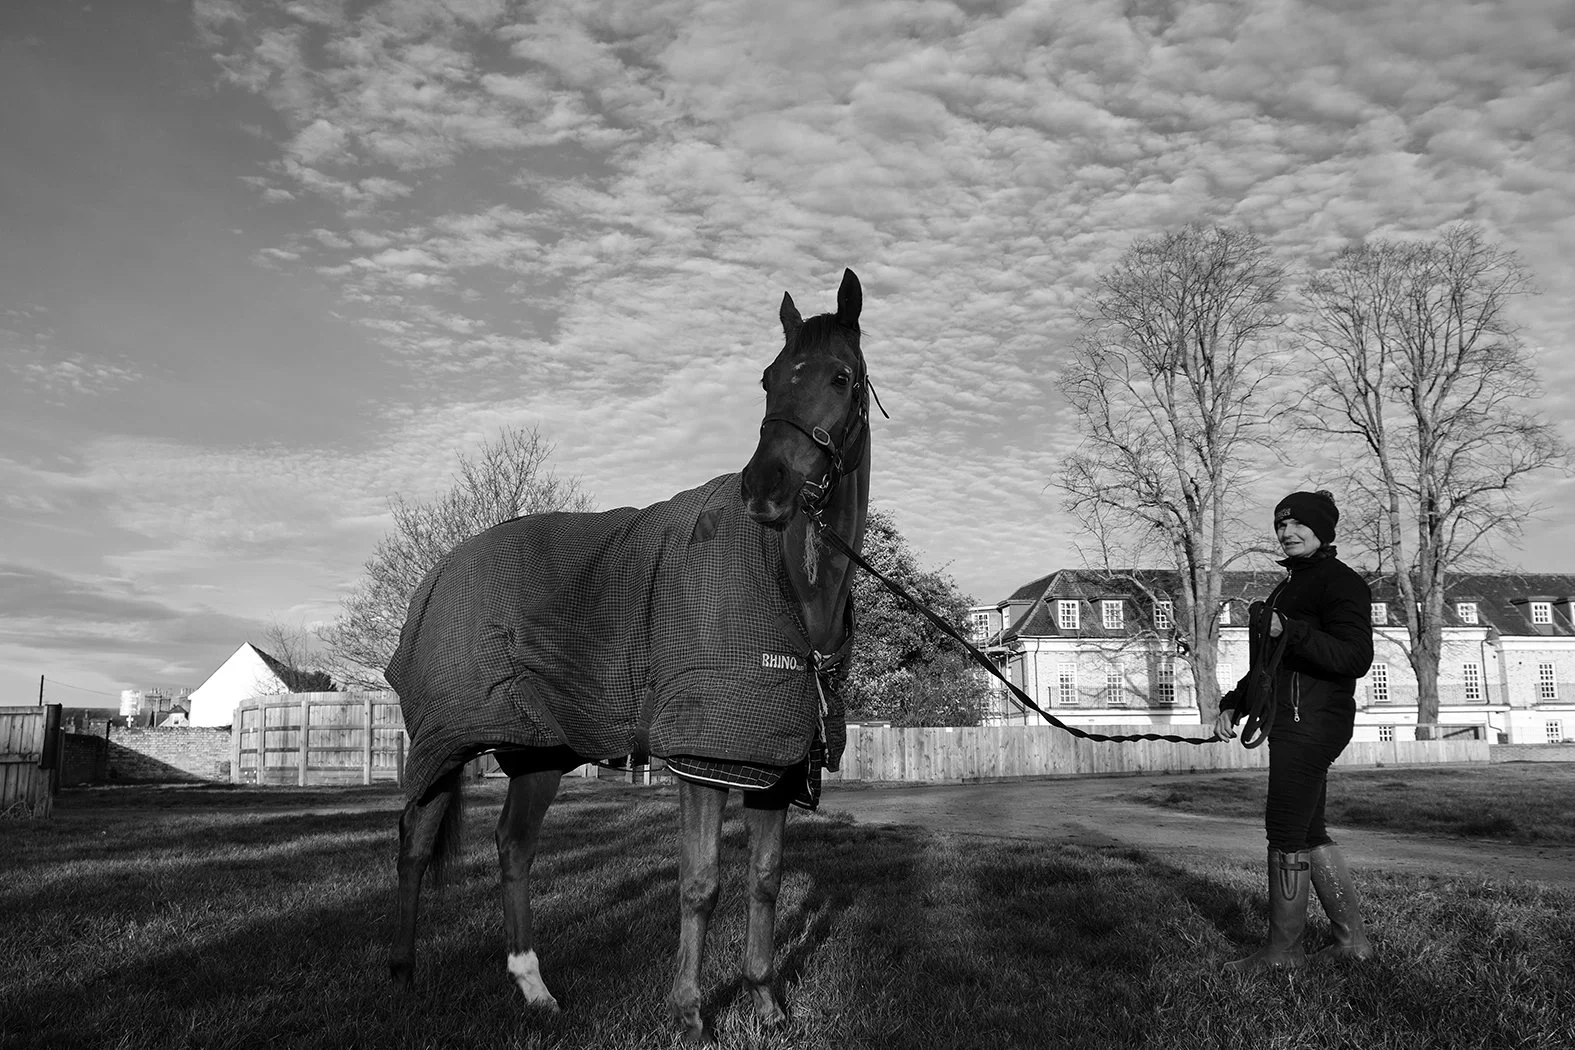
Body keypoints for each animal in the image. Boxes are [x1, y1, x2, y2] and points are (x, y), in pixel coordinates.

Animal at [385, 268, 871, 1042]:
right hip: (447, 739)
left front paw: (765, 1002)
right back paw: (404, 976)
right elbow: (700, 882)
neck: (791, 589)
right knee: (414, 839)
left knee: (512, 847)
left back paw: (535, 989)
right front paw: (689, 1012)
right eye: (768, 378)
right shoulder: (703, 757)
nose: (764, 490)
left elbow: (764, 881)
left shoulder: (772, 763)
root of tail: (441, 571)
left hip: (537, 751)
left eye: (841, 376)